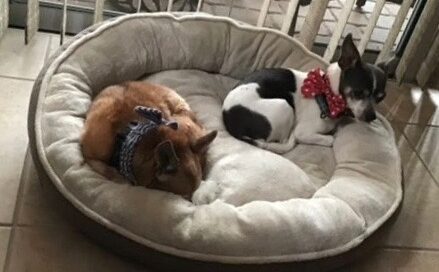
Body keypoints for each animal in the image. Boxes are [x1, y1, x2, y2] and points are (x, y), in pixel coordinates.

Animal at [223, 33, 388, 153]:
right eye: (358, 93)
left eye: (380, 98)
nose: (371, 116)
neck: (328, 93)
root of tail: (230, 122)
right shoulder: (303, 132)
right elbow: (328, 139)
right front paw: (329, 138)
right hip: (283, 106)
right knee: (284, 141)